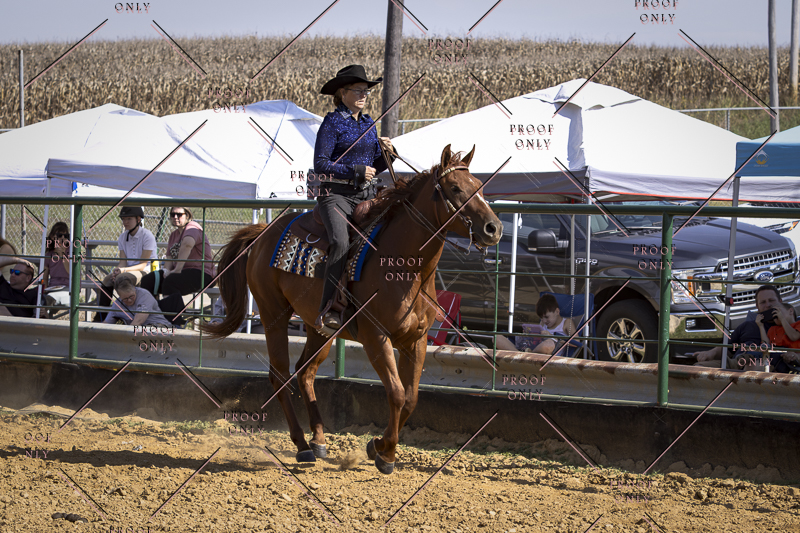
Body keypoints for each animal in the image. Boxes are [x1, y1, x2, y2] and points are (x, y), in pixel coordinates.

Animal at [203, 145, 503, 474]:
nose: (494, 228)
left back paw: (319, 440)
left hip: (318, 327)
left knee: (305, 372)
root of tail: (262, 232)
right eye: (455, 188)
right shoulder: (376, 337)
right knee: (280, 376)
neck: (405, 268)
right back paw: (302, 446)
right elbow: (396, 393)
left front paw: (377, 446)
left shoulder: (417, 340)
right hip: (273, 315)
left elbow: (411, 398)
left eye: (480, 186)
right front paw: (386, 455)